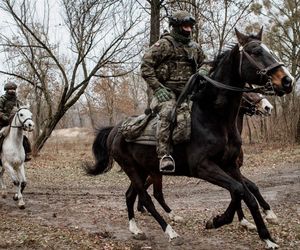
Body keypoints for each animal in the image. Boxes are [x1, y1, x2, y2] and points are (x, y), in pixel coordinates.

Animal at [85, 28, 294, 248]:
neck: (213, 118)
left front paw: (265, 236)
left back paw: (136, 228)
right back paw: (170, 231)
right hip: (132, 169)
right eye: (255, 51)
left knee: (131, 195)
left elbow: (246, 193)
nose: (287, 81)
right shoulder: (203, 167)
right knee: (147, 198)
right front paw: (220, 221)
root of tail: (115, 130)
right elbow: (239, 190)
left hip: (143, 170)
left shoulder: (230, 166)